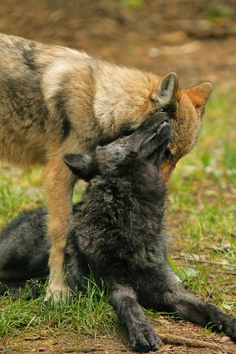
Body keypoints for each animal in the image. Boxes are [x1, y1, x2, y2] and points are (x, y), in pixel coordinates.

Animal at [0, 32, 212, 302]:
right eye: (166, 152)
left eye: (177, 158)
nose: (161, 191)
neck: (97, 104)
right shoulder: (58, 175)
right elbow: (60, 234)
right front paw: (57, 290)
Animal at [0, 110, 235, 352]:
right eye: (127, 133)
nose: (162, 112)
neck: (132, 219)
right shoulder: (116, 284)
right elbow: (131, 306)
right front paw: (142, 331)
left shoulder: (170, 289)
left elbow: (209, 307)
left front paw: (230, 322)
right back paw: (27, 288)